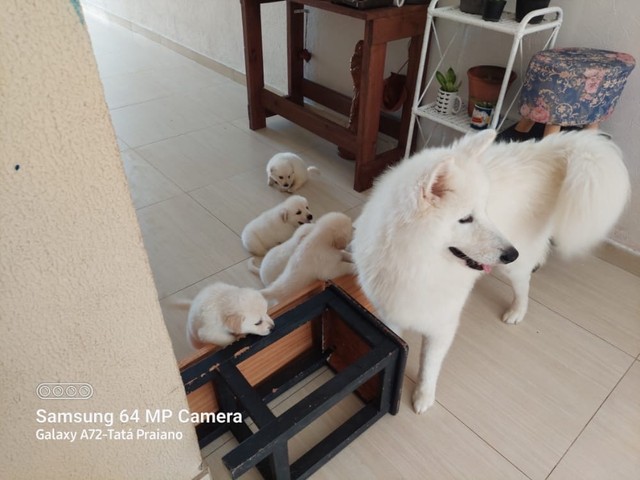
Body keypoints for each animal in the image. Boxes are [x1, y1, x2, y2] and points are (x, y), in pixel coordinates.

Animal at [356, 129, 632, 414]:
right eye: (466, 219)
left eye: (484, 210)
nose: (511, 253)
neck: (418, 262)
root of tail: (546, 150)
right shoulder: (391, 317)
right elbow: (404, 349)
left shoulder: (442, 325)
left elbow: (429, 365)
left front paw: (423, 397)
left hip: (515, 269)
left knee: (525, 284)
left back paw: (516, 311)